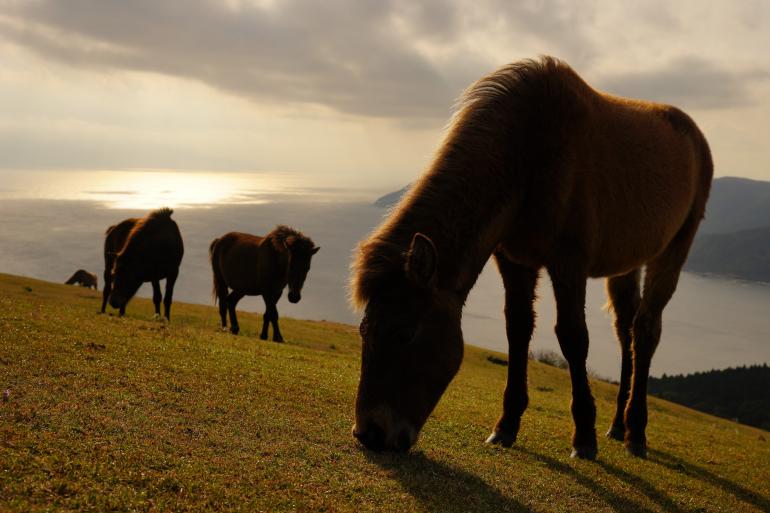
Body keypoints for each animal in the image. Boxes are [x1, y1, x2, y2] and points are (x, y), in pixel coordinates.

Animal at [348, 57, 708, 460]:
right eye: (364, 331)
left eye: (405, 333)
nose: (370, 433)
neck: (528, 154)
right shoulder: (514, 259)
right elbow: (517, 329)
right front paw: (506, 425)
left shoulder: (569, 264)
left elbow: (573, 337)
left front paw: (584, 437)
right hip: (627, 265)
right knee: (625, 330)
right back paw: (619, 424)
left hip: (675, 248)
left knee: (645, 330)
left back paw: (636, 432)